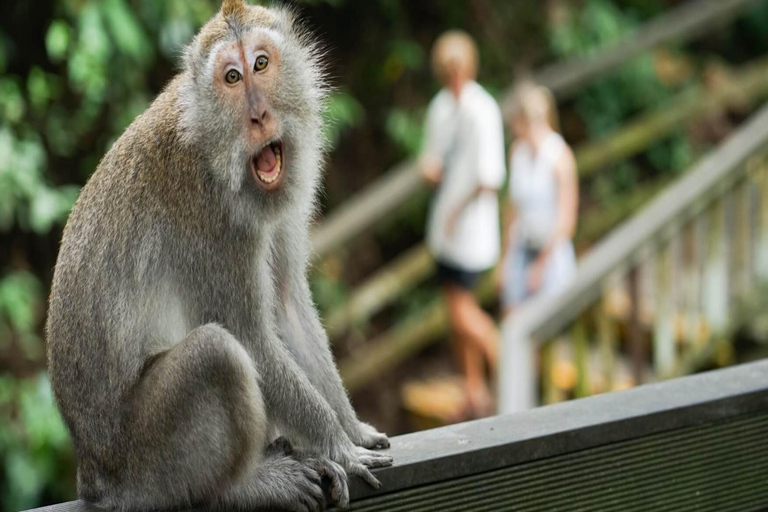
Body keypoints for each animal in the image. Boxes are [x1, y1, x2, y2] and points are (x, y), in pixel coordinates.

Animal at [45, 2, 392, 511]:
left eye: (261, 64)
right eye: (232, 77)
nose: (259, 116)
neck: (213, 147)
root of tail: (95, 477)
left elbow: (287, 305)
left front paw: (354, 430)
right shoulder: (211, 220)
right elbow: (250, 338)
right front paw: (338, 447)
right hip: (148, 458)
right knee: (218, 354)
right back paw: (247, 485)